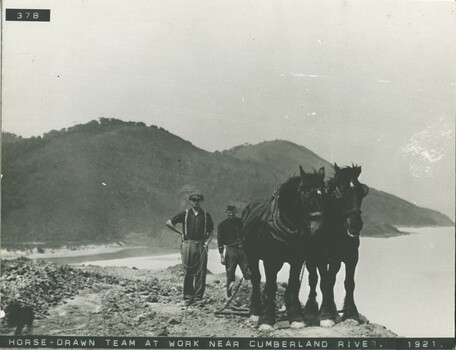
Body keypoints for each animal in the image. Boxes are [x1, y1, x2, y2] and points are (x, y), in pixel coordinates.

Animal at [240, 165, 326, 330]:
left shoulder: (297, 259)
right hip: (251, 255)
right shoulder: (270, 260)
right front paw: (266, 319)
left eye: (324, 193)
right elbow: (271, 286)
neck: (287, 225)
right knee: (256, 279)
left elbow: (293, 284)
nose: (318, 229)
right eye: (306, 193)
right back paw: (255, 311)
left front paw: (296, 317)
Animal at [302, 164, 370, 328]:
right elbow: (323, 282)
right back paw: (312, 307)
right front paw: (325, 315)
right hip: (311, 258)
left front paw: (351, 313)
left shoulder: (351, 257)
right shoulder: (321, 258)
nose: (356, 225)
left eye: (361, 191)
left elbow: (348, 283)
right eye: (342, 191)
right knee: (314, 279)